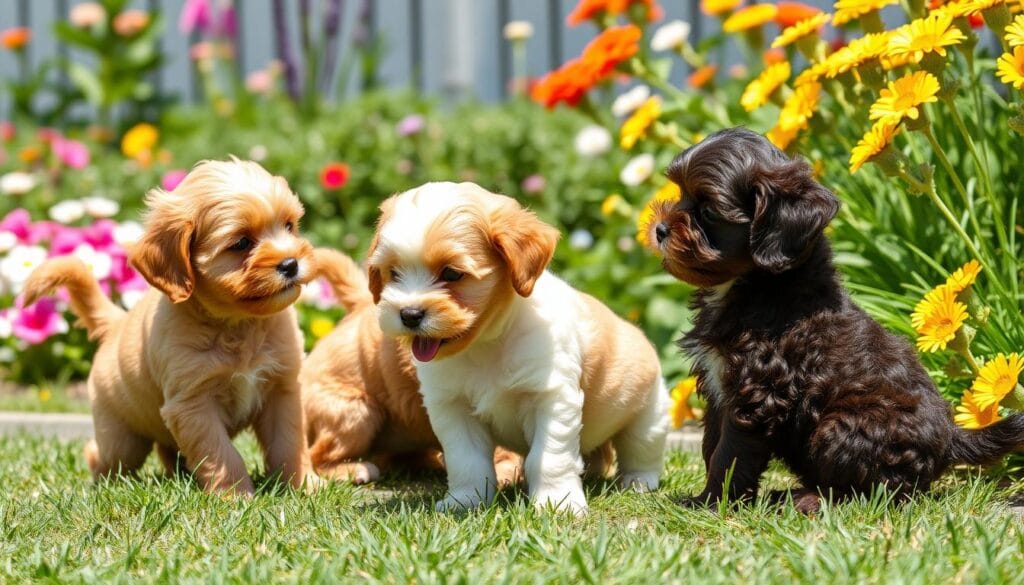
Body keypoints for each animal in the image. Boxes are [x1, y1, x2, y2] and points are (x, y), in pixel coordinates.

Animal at [24, 158, 319, 493]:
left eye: (289, 226)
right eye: (241, 243)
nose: (291, 264)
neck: (239, 323)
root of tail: (117, 323)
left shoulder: (283, 388)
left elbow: (289, 442)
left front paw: (304, 485)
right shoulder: (192, 403)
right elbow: (221, 452)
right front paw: (236, 495)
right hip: (121, 437)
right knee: (102, 454)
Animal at [368, 182, 671, 512]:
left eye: (451, 273)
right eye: (394, 273)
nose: (409, 314)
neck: (485, 345)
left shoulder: (552, 398)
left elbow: (548, 458)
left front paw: (557, 502)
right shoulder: (451, 407)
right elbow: (466, 461)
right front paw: (465, 501)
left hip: (649, 416)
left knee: (641, 451)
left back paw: (637, 482)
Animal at [647, 127, 1024, 512]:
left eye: (709, 210)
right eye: (680, 194)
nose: (660, 229)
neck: (758, 283)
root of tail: (950, 439)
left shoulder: (758, 391)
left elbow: (730, 452)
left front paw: (711, 503)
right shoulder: (719, 387)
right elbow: (711, 443)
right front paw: (704, 498)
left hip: (845, 426)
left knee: (873, 492)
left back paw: (804, 499)